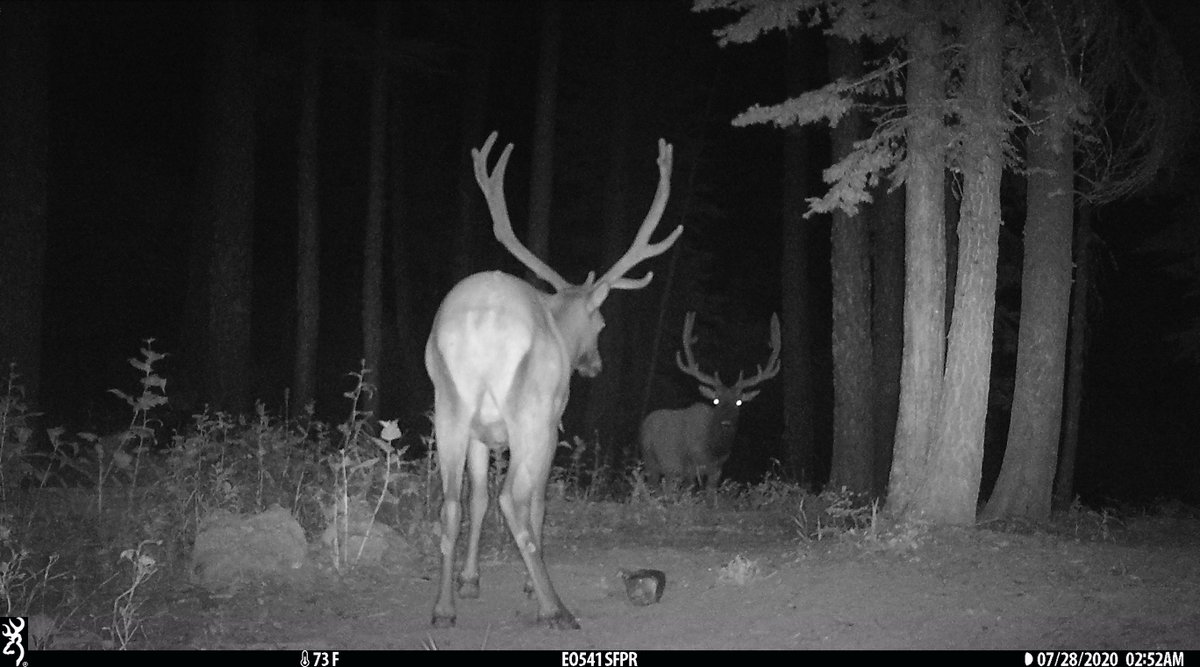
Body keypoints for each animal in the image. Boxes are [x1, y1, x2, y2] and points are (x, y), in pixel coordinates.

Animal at [425, 131, 681, 630]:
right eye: (600, 322)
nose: (594, 364)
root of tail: (481, 323)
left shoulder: (480, 433)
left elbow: (476, 498)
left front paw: (470, 580)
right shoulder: (553, 416)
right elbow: (538, 502)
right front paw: (528, 583)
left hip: (448, 403)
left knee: (451, 501)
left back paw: (443, 609)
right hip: (531, 412)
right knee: (515, 498)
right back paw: (555, 608)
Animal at [639, 311, 781, 491]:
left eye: (739, 402)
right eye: (716, 401)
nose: (726, 423)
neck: (712, 452)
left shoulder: (717, 471)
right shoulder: (689, 467)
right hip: (654, 462)